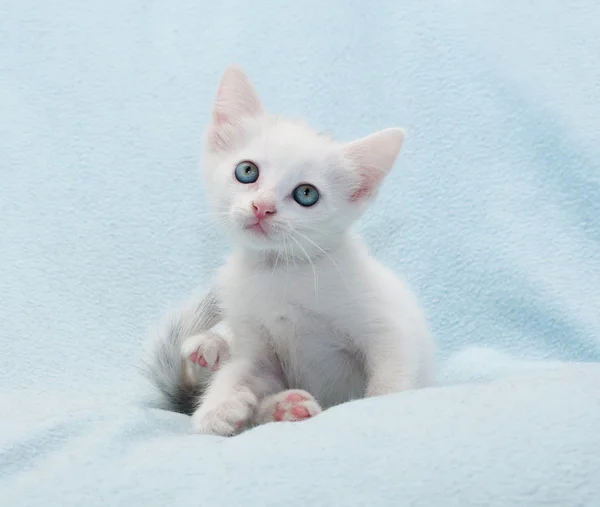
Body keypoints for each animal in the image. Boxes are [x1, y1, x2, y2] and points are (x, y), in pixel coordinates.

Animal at [145, 65, 436, 434]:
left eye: (306, 194)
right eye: (247, 171)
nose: (262, 207)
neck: (280, 271)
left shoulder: (386, 327)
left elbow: (390, 374)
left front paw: (380, 406)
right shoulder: (256, 345)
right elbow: (242, 370)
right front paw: (218, 407)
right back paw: (222, 359)